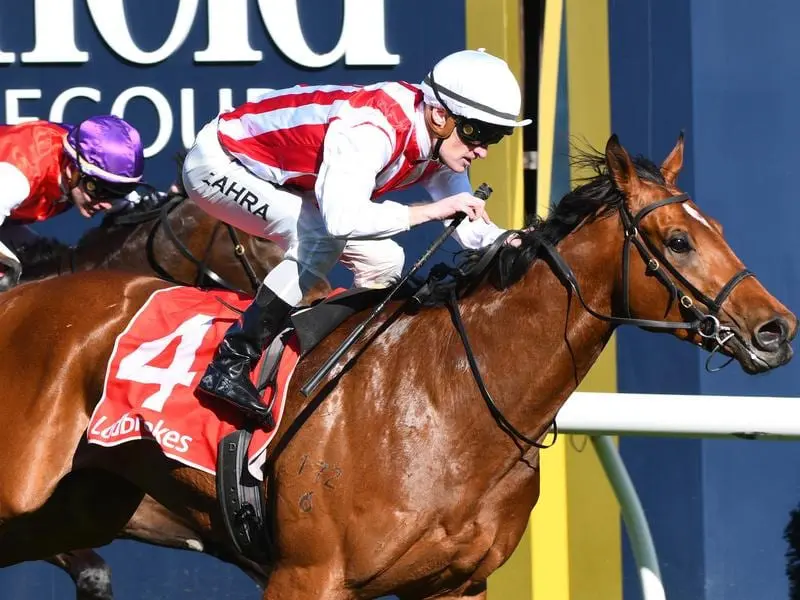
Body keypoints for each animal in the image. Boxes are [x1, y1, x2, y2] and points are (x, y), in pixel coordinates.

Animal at [0, 134, 792, 596]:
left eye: (718, 229)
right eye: (678, 241)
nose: (775, 328)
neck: (453, 402)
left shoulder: (454, 587)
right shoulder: (307, 576)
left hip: (72, 509)